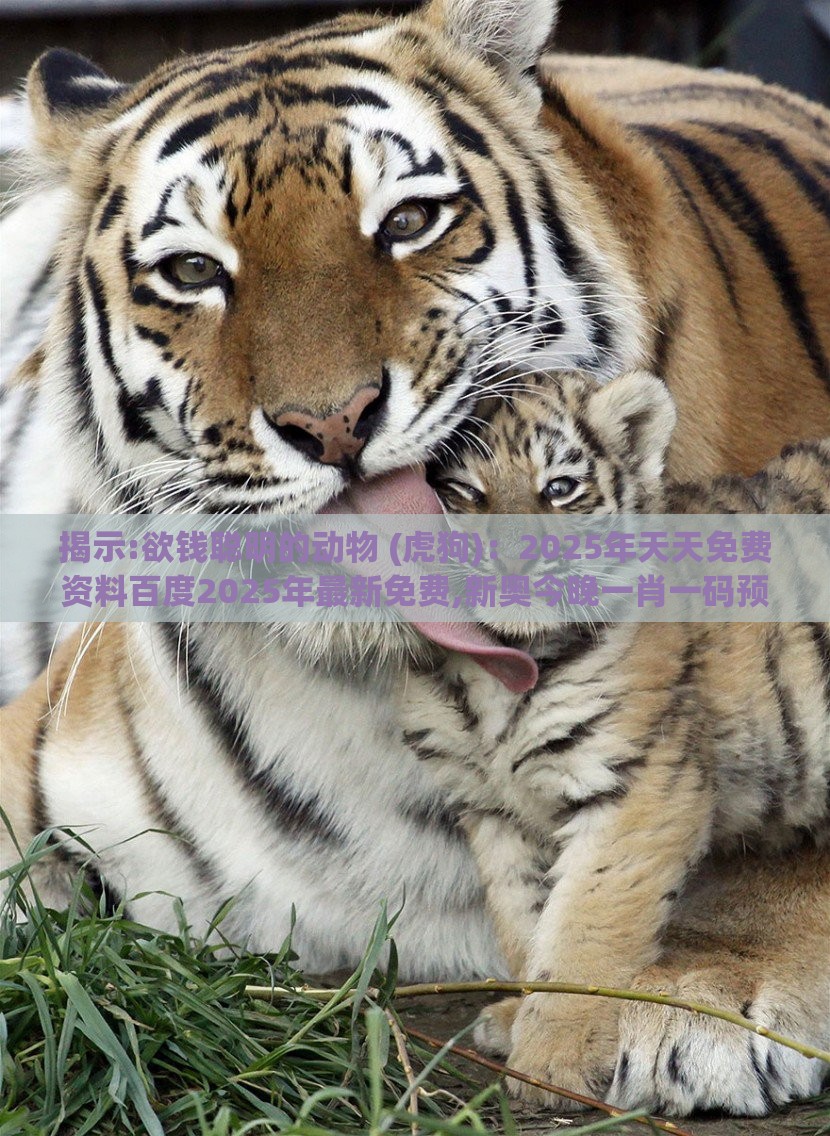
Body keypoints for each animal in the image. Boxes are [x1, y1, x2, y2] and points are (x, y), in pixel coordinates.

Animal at [407, 368, 830, 1113]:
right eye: (461, 493)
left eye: (559, 488)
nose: (512, 563)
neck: (498, 672)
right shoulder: (491, 806)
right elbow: (524, 918)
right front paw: (518, 1019)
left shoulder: (639, 782)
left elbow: (586, 927)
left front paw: (554, 1062)